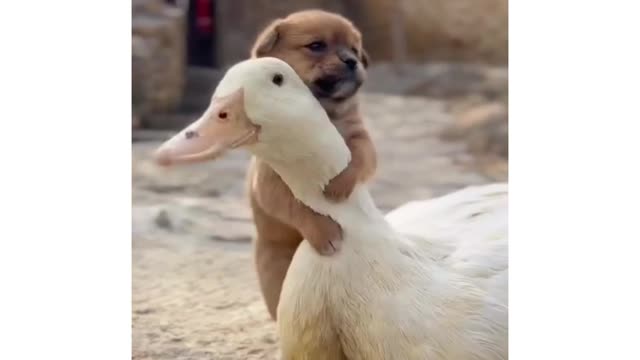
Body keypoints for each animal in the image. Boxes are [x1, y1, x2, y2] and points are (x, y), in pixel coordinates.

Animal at [244, 9, 376, 320]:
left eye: (355, 49)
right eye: (316, 46)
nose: (352, 61)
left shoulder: (362, 139)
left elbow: (357, 159)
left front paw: (340, 184)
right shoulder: (270, 184)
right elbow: (299, 208)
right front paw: (324, 233)